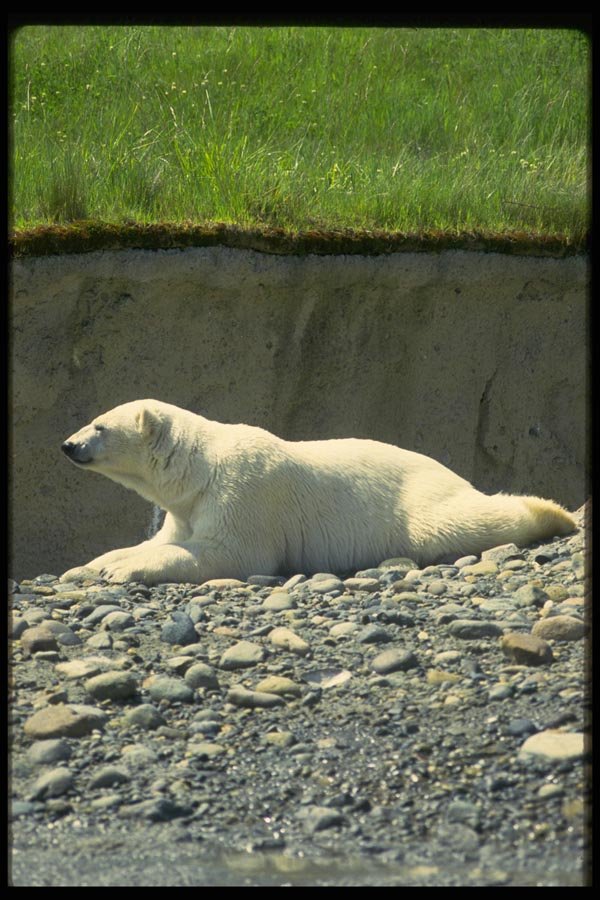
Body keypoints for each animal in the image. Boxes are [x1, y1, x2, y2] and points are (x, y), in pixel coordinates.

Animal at [60, 399, 577, 587]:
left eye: (99, 425)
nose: (68, 445)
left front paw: (120, 571)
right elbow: (161, 540)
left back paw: (555, 512)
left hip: (419, 500)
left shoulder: (244, 492)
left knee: (455, 521)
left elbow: (234, 552)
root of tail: (448, 470)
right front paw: (90, 565)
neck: (200, 467)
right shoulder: (188, 507)